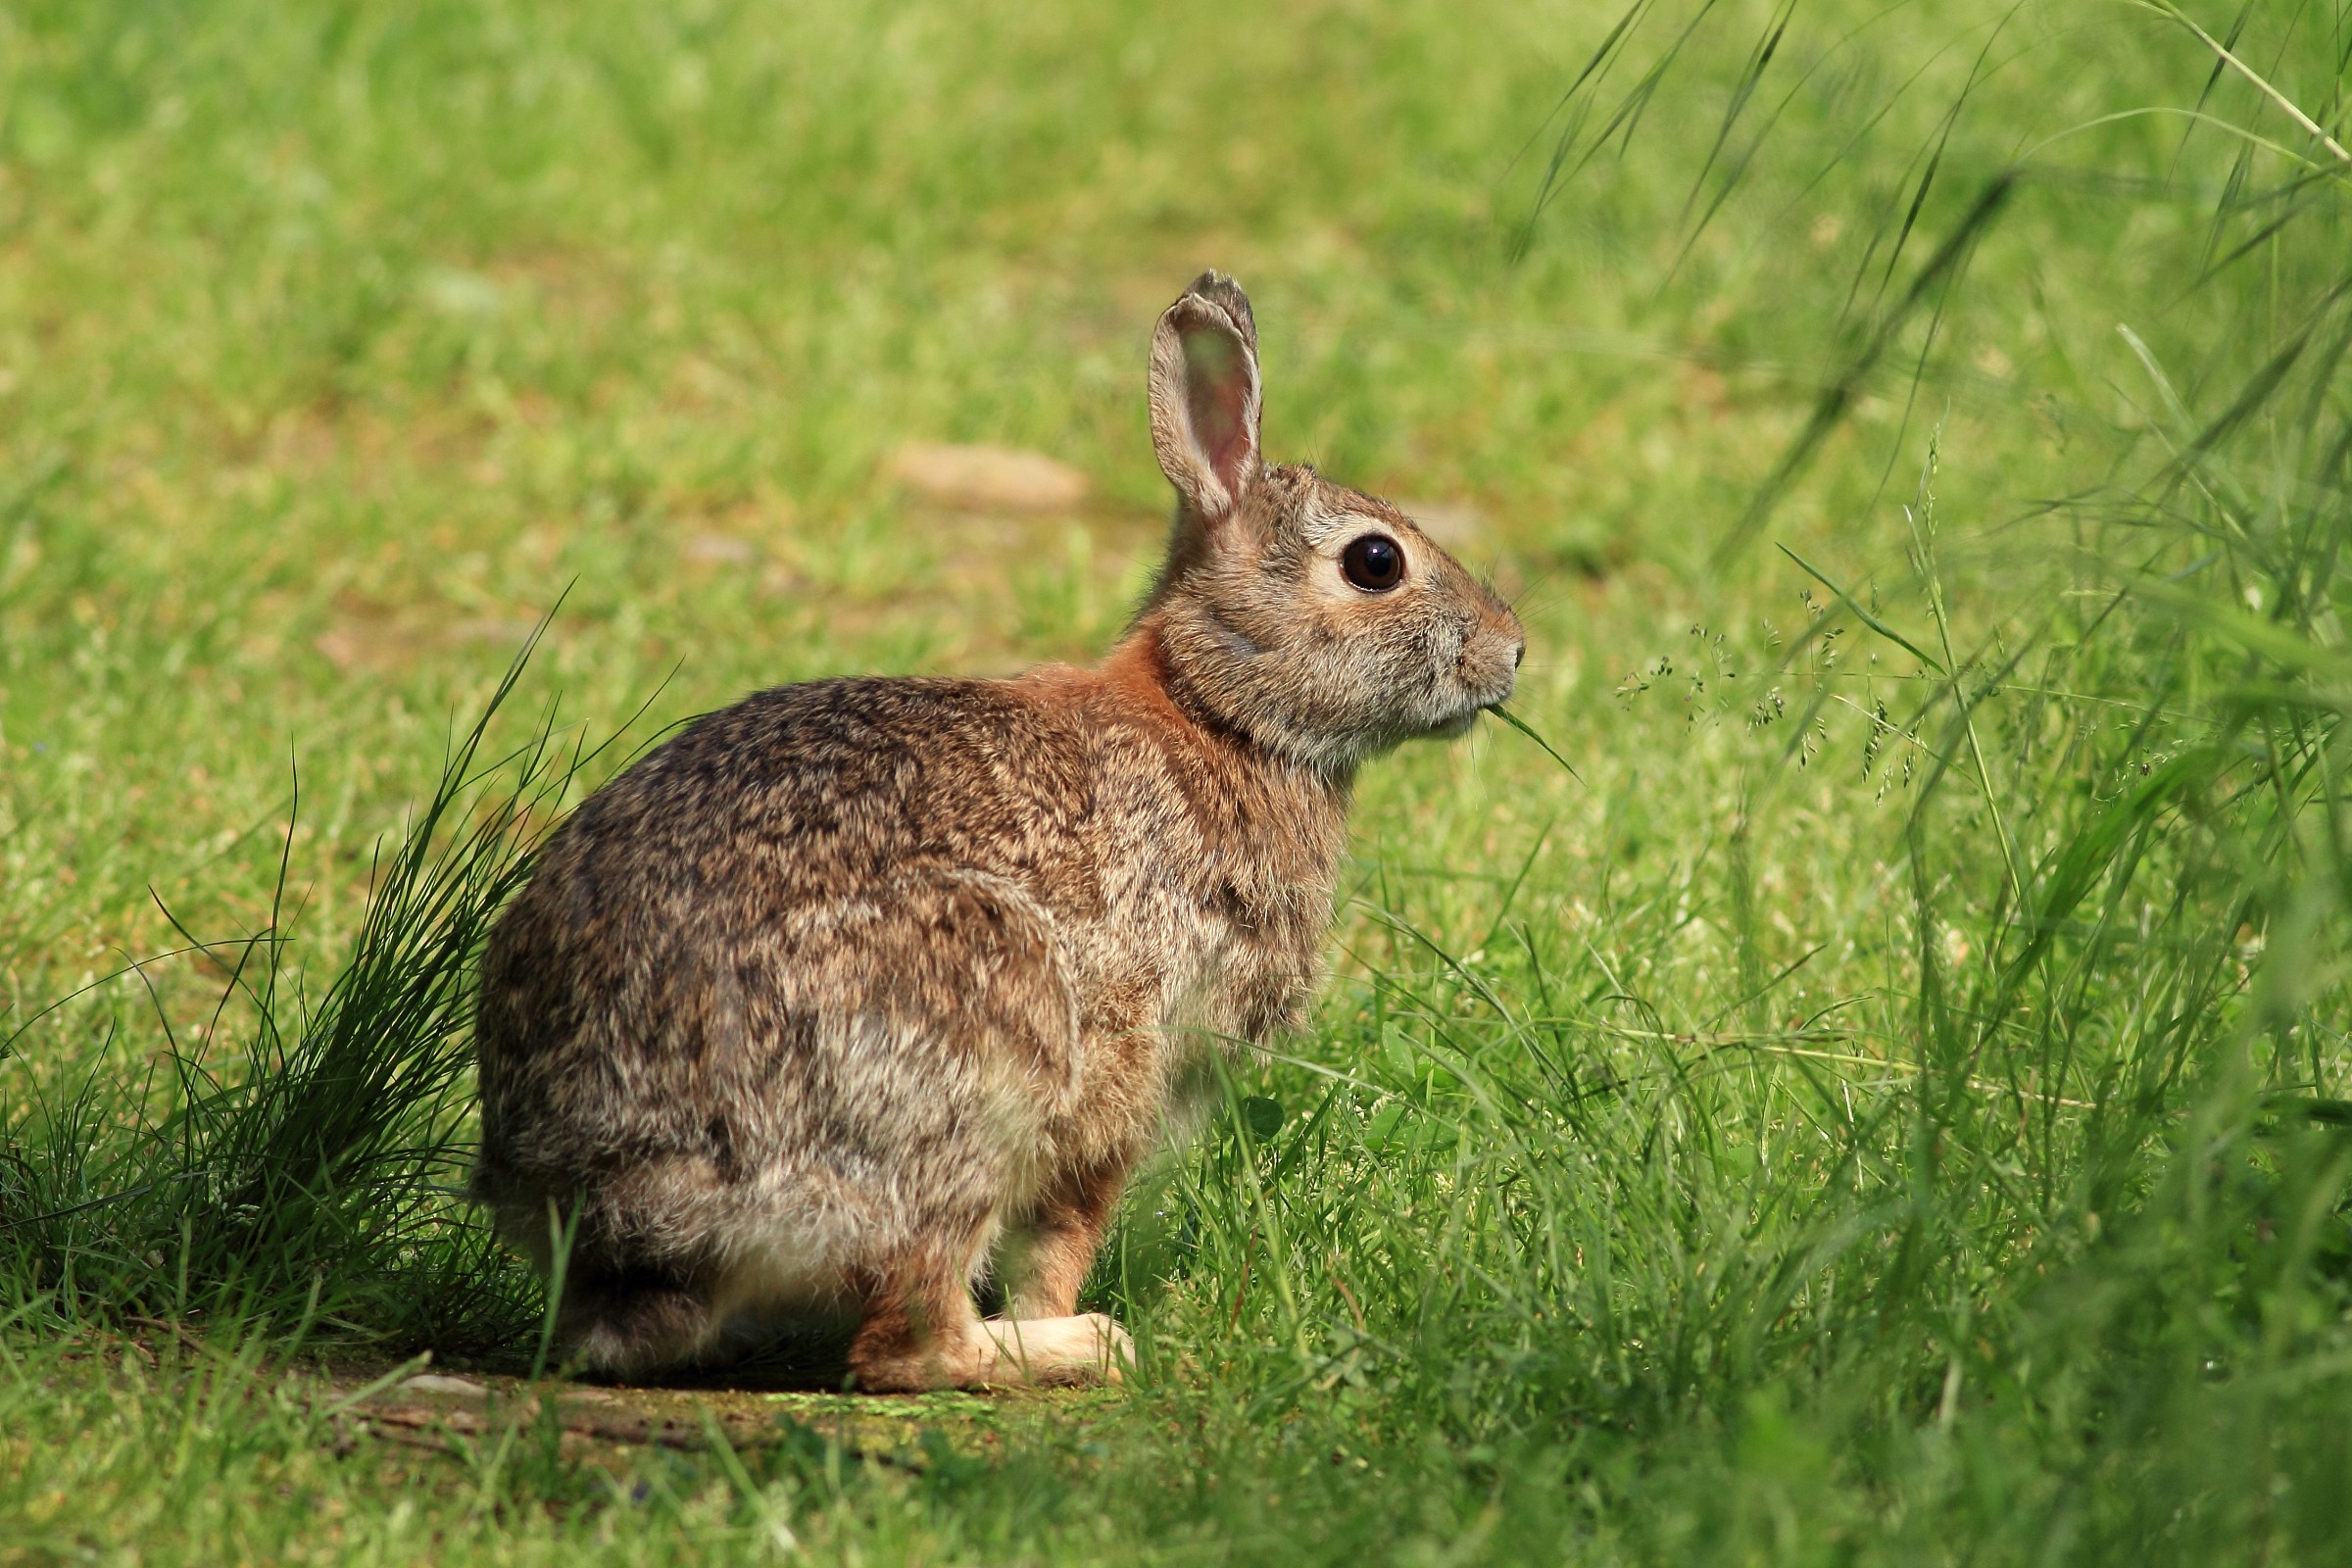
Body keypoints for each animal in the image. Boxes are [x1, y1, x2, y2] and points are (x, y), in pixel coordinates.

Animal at [468, 272, 1525, 1390]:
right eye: (1375, 562)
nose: (1511, 652)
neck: (1217, 711)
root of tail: (617, 1190)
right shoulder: (1123, 1060)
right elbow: (1067, 1228)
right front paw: (1069, 1318)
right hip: (977, 1049)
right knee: (906, 1339)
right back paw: (1075, 1347)